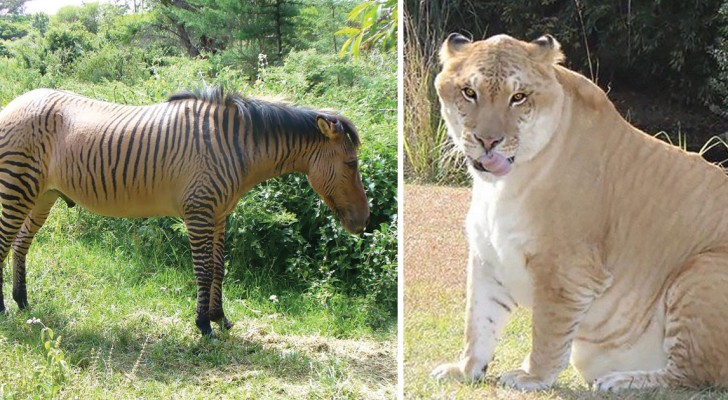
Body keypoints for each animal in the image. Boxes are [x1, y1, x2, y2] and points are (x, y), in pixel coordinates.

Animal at [0, 87, 370, 334]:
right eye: (351, 164)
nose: (364, 222)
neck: (237, 147)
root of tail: (16, 101)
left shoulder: (220, 214)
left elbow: (219, 268)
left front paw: (221, 318)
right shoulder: (199, 212)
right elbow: (203, 270)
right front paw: (203, 324)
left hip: (43, 195)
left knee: (20, 244)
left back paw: (22, 301)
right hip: (16, 187)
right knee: (5, 244)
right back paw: (5, 308)